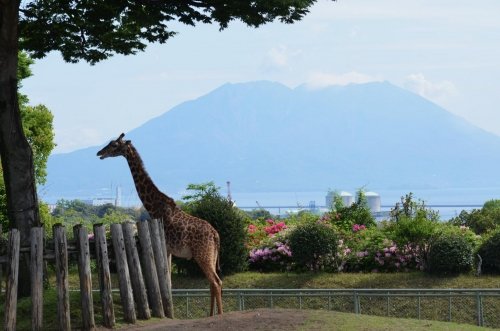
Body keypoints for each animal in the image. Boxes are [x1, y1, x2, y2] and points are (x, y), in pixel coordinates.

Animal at [97, 133, 223, 316]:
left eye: (114, 145)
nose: (99, 153)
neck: (154, 206)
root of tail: (215, 234)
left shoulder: (165, 246)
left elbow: (168, 282)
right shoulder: (169, 249)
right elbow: (168, 282)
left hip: (203, 254)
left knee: (215, 282)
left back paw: (219, 314)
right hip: (211, 255)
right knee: (214, 282)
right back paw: (211, 314)